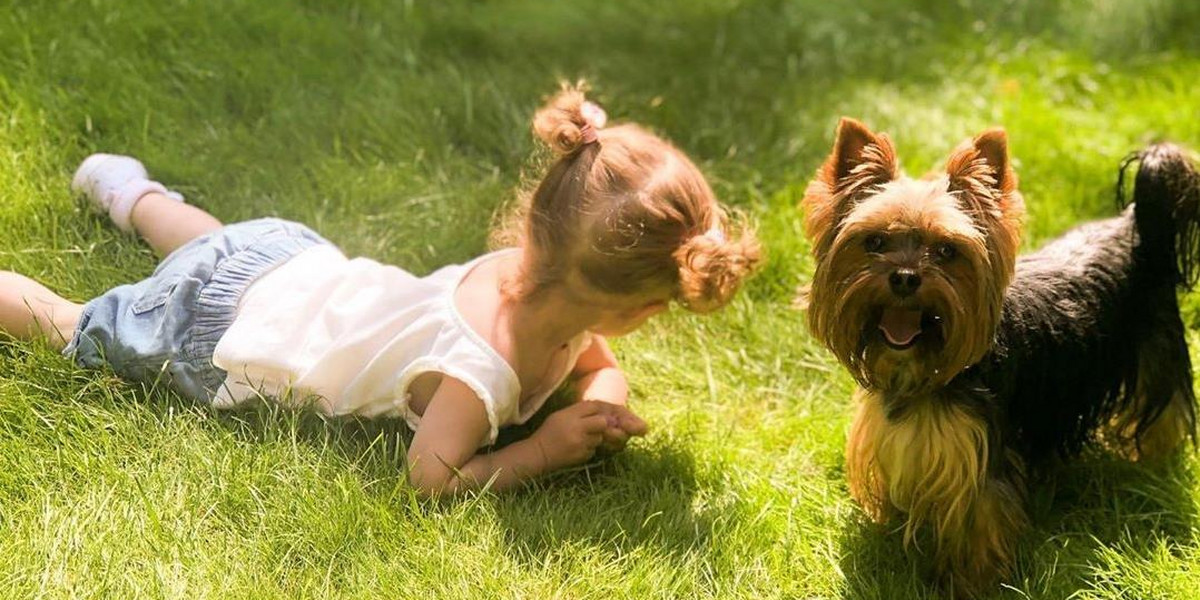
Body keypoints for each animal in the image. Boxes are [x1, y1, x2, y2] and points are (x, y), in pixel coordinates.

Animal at [796, 117, 1200, 595]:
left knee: (1164, 412)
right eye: (874, 241)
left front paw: (968, 585)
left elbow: (978, 524)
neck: (924, 371)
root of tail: (1136, 223)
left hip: (1156, 352)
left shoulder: (978, 461)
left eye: (947, 250)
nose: (905, 278)